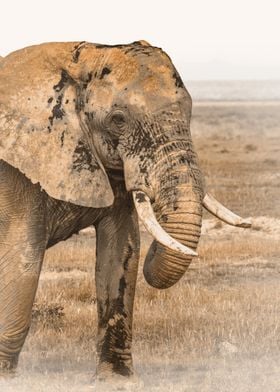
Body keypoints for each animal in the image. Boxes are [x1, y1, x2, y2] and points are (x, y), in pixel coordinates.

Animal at [0, 40, 250, 386]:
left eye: (189, 112)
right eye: (118, 119)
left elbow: (121, 252)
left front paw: (117, 381)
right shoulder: (20, 167)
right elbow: (22, 259)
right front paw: (7, 379)